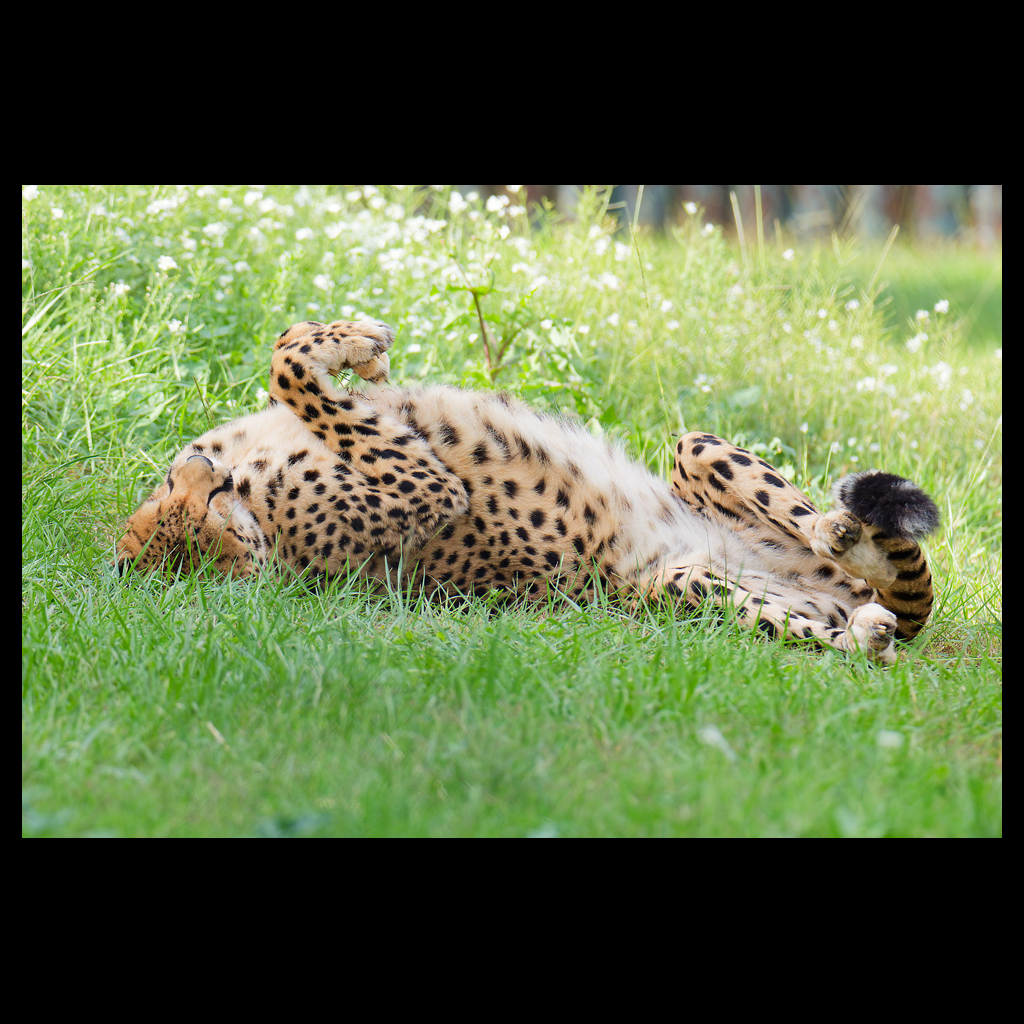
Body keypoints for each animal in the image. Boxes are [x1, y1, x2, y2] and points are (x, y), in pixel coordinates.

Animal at [117, 318, 940, 665]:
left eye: (197, 504)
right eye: (211, 530)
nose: (210, 476)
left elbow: (291, 358)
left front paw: (353, 343)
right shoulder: (428, 491)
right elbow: (291, 369)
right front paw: (353, 344)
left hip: (695, 451)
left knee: (825, 538)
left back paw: (841, 536)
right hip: (679, 587)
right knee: (850, 631)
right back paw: (865, 629)